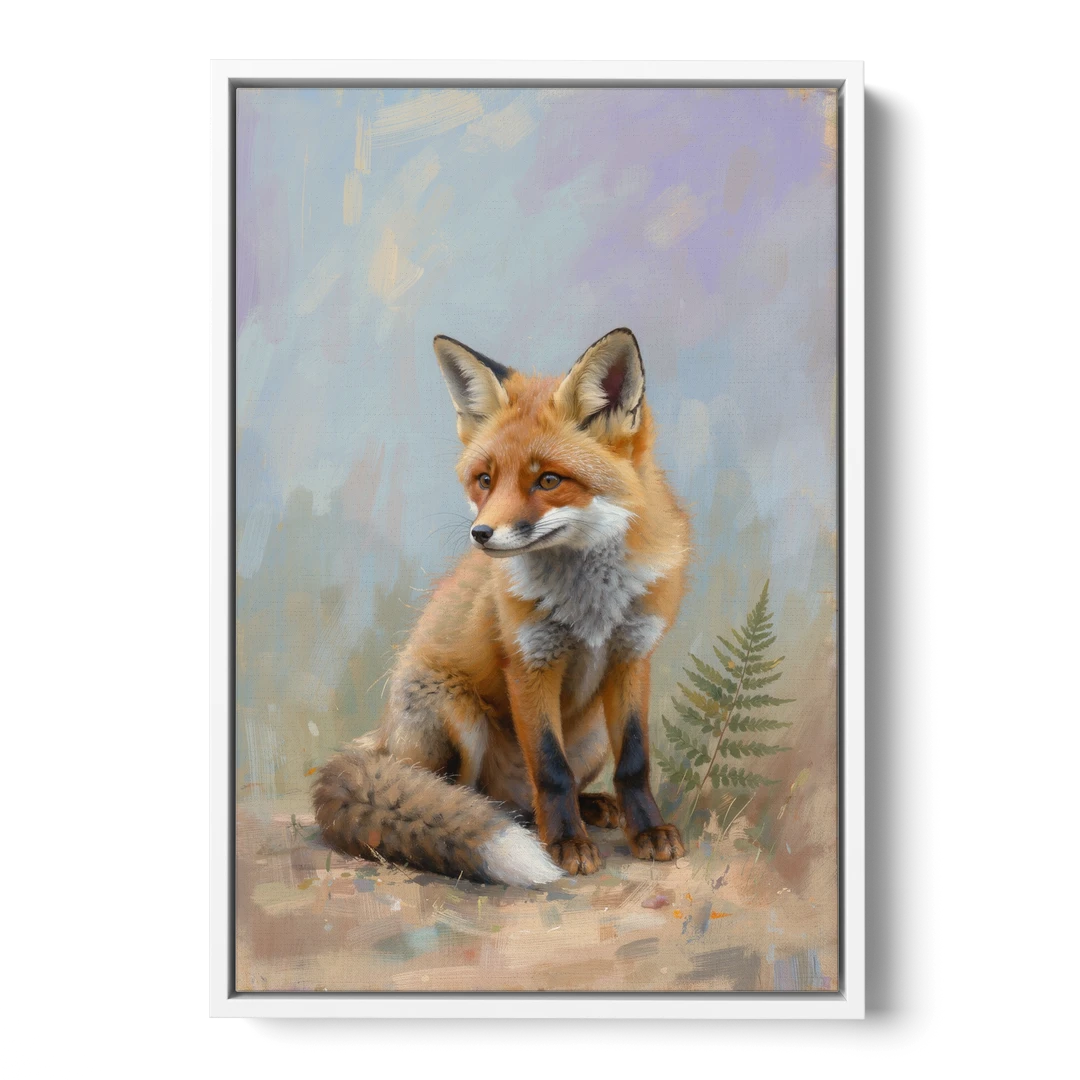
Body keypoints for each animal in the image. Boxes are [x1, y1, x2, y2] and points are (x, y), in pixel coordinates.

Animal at [312, 327, 692, 886]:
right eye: (485, 479)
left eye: (549, 480)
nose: (481, 534)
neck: (592, 605)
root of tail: (379, 739)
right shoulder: (530, 662)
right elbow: (551, 770)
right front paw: (566, 843)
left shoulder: (633, 655)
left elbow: (635, 762)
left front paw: (646, 831)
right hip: (455, 713)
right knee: (458, 792)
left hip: (592, 736)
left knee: (532, 796)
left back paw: (588, 807)